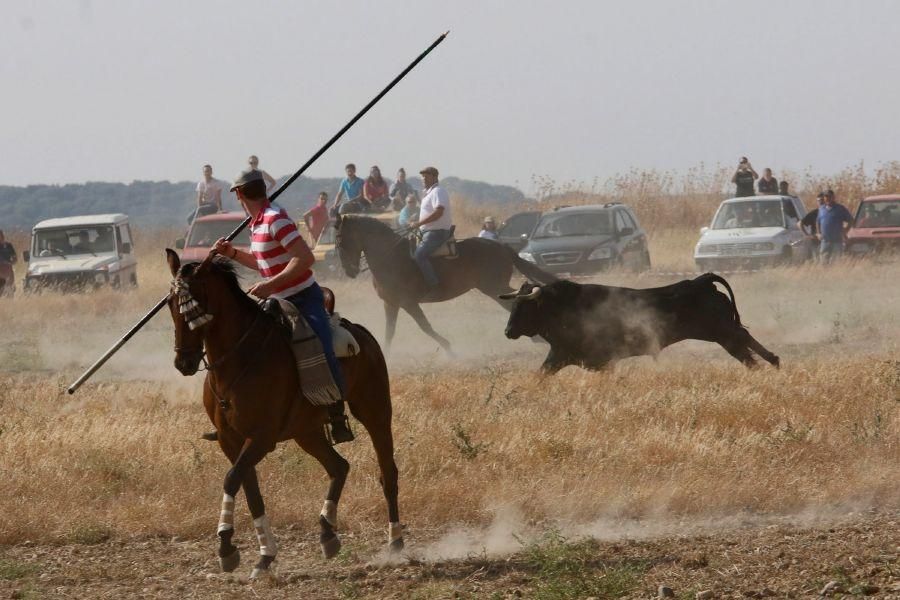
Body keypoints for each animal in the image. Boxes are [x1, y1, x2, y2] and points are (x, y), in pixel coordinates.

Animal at [163, 248, 400, 576]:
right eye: (171, 303)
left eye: (196, 301)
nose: (183, 362)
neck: (240, 358)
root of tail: (362, 334)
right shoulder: (230, 440)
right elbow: (250, 489)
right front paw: (264, 555)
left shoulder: (261, 438)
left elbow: (232, 479)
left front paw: (225, 546)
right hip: (307, 431)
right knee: (339, 467)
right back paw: (327, 534)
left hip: (375, 410)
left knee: (387, 472)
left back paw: (395, 542)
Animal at [334, 217, 552, 352]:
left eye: (341, 241)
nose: (349, 271)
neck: (391, 257)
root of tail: (502, 246)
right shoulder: (391, 303)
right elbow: (390, 332)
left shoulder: (408, 302)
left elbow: (425, 326)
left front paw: (448, 348)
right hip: (494, 288)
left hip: (494, 287)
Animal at [500, 274, 780, 376]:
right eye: (514, 305)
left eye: (524, 306)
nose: (508, 331)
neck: (561, 306)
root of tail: (701, 281)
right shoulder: (559, 355)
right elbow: (540, 376)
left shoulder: (597, 361)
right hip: (721, 332)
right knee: (745, 341)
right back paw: (773, 363)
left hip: (720, 332)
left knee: (744, 348)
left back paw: (769, 365)